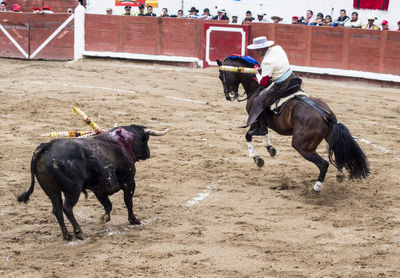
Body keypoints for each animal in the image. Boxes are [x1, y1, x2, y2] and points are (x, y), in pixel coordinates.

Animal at [16, 125, 167, 240]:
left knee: (57, 209)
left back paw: (67, 235)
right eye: (146, 139)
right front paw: (134, 220)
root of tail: (45, 147)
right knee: (67, 208)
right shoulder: (129, 181)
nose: (148, 153)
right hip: (73, 190)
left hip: (52, 190)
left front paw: (104, 218)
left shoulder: (98, 188)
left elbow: (108, 205)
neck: (122, 142)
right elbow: (128, 202)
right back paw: (78, 232)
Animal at [217, 56, 370, 191]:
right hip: (330, 137)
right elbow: (264, 133)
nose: (228, 96)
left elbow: (248, 135)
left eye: (220, 76)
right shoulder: (261, 123)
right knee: (339, 153)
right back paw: (339, 174)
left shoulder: (255, 119)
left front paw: (257, 158)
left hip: (302, 146)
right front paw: (269, 148)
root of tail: (326, 115)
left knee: (323, 164)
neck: (257, 88)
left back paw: (317, 187)